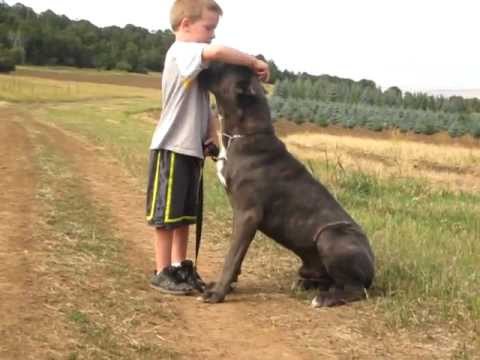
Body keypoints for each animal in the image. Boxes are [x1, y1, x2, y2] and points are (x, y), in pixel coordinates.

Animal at [199, 62, 376, 306]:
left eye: (222, 66)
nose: (201, 65)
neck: (243, 135)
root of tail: (373, 267)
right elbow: (237, 258)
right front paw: (226, 286)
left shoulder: (248, 215)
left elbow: (232, 257)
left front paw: (218, 292)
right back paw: (307, 285)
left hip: (330, 236)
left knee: (355, 289)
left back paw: (324, 298)